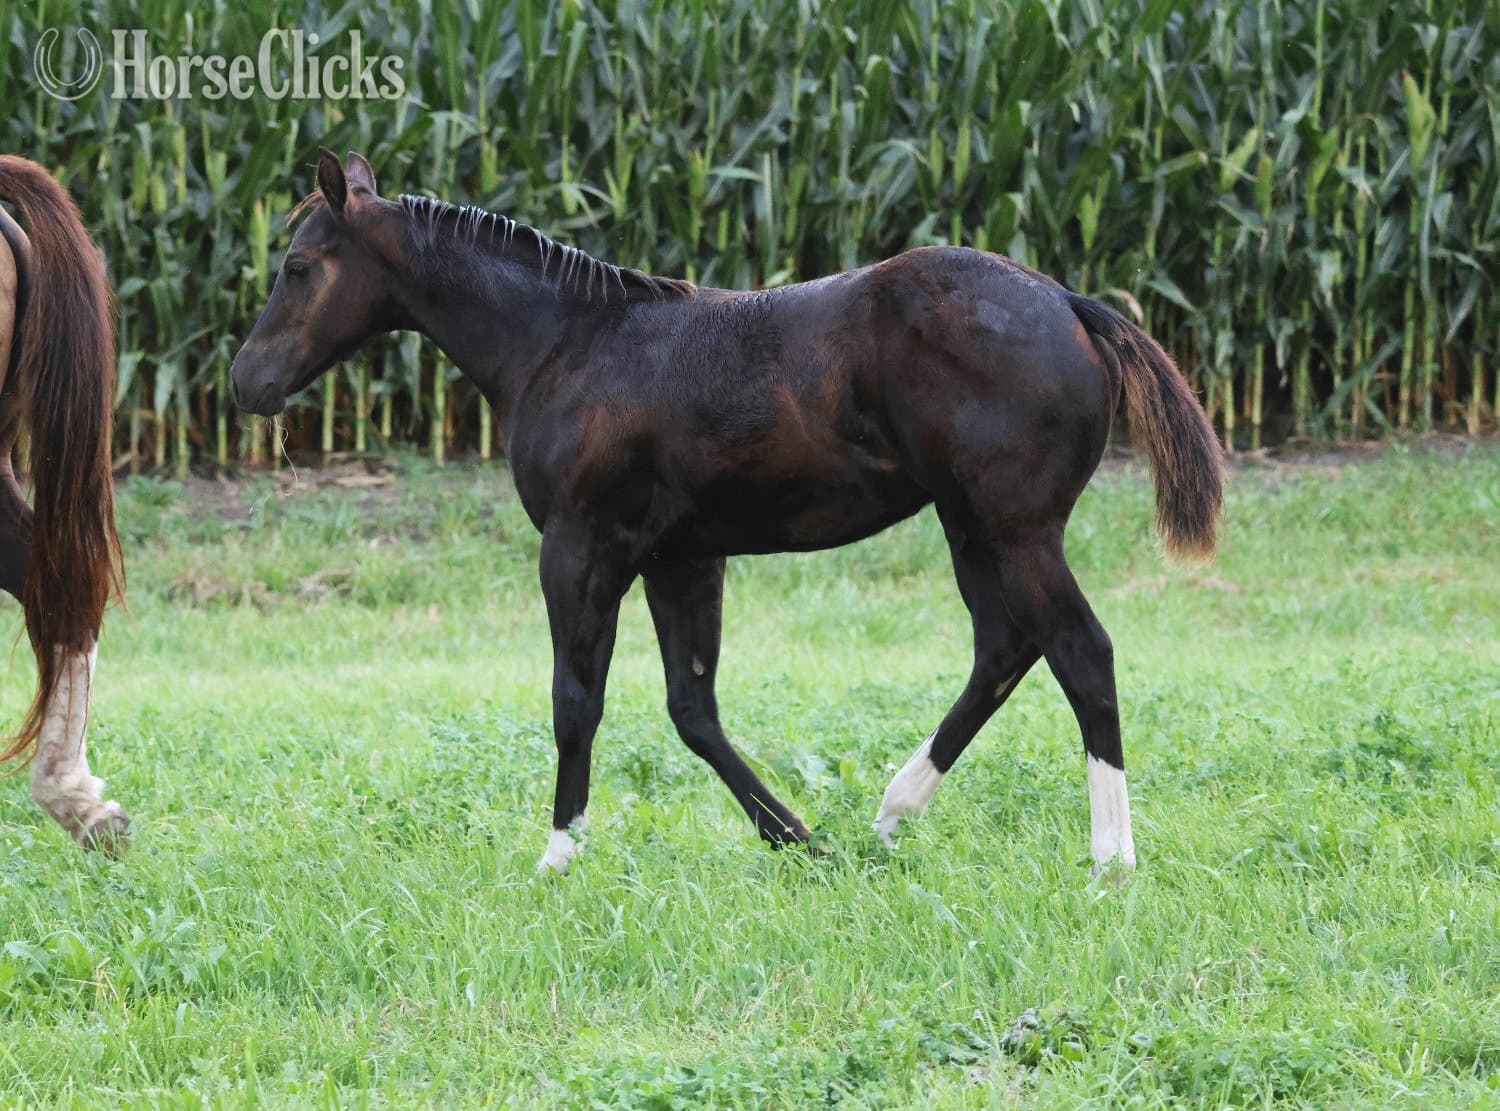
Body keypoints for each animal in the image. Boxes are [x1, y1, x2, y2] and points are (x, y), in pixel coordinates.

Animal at [231, 150, 1222, 875]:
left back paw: (1111, 857)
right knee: (1006, 648)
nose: (247, 381)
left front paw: (558, 854)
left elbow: (575, 699)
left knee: (1080, 652)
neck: (564, 344)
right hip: (969, 525)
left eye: (297, 264)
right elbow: (691, 706)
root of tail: (1069, 303)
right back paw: (890, 813)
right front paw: (798, 836)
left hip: (1014, 527)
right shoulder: (681, 558)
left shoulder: (581, 547)